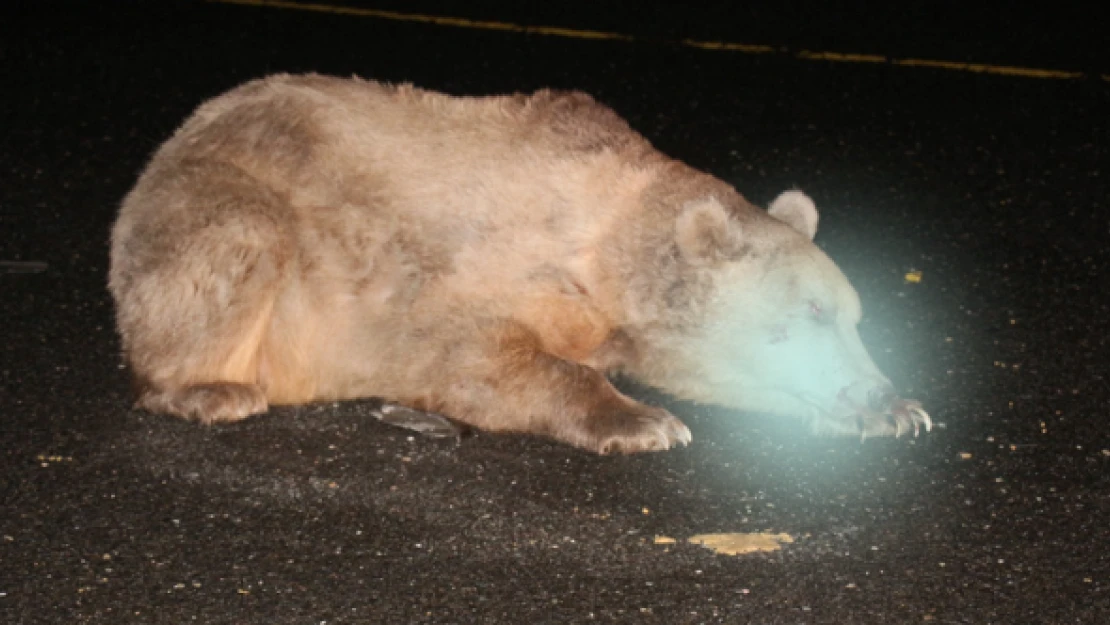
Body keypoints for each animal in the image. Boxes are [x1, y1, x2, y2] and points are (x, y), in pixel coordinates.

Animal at [110, 73, 927, 455]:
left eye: (853, 315)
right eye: (809, 312)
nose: (871, 382)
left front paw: (890, 413)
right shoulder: (468, 271)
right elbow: (473, 359)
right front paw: (644, 420)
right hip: (210, 204)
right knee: (238, 239)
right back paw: (212, 388)